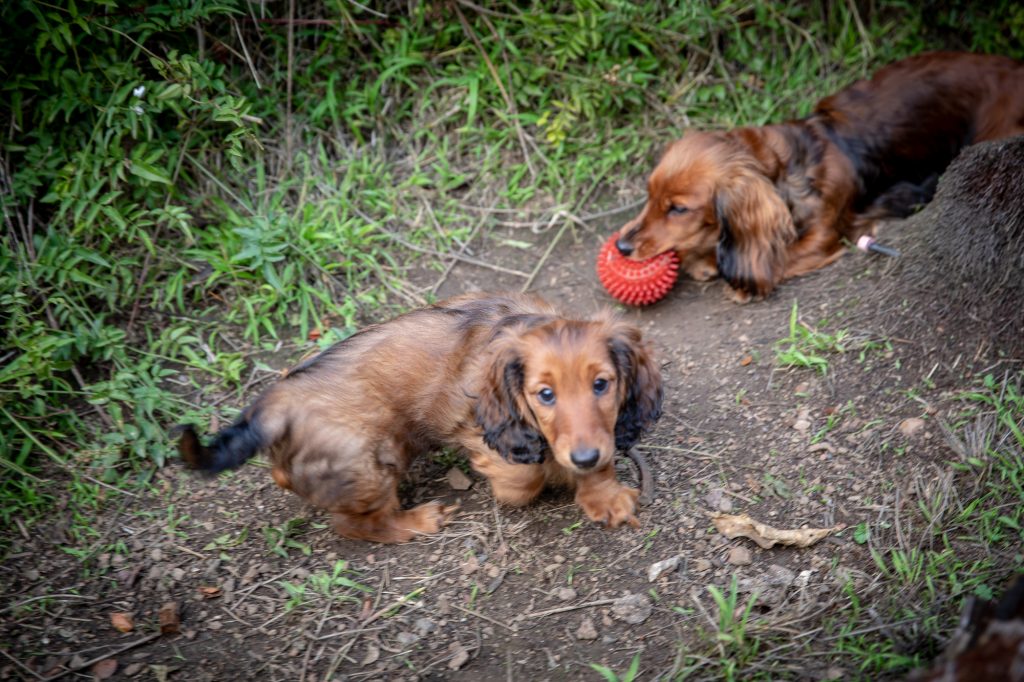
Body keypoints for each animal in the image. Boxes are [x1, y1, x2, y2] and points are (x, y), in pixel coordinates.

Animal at [178, 292, 663, 540]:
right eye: (545, 395)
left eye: (601, 385)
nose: (582, 457)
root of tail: (274, 404)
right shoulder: (485, 426)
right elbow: (522, 476)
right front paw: (529, 480)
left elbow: (600, 456)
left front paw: (602, 494)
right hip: (373, 458)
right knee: (355, 524)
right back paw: (416, 521)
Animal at [614, 53, 1024, 296]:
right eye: (649, 195)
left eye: (679, 209)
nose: (621, 247)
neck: (787, 169)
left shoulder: (823, 235)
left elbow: (775, 259)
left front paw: (716, 265)